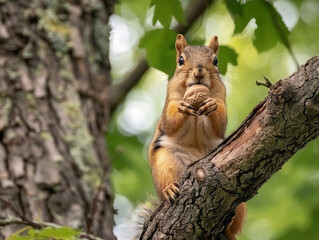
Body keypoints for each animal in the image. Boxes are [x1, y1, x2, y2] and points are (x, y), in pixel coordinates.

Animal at [148, 34, 248, 240]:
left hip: (241, 205)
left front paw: (211, 106)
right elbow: (170, 121)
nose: (199, 72)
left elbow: (219, 122)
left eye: (216, 61)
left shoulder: (221, 96)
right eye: (181, 60)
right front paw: (182, 106)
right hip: (164, 162)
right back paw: (169, 189)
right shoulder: (170, 99)